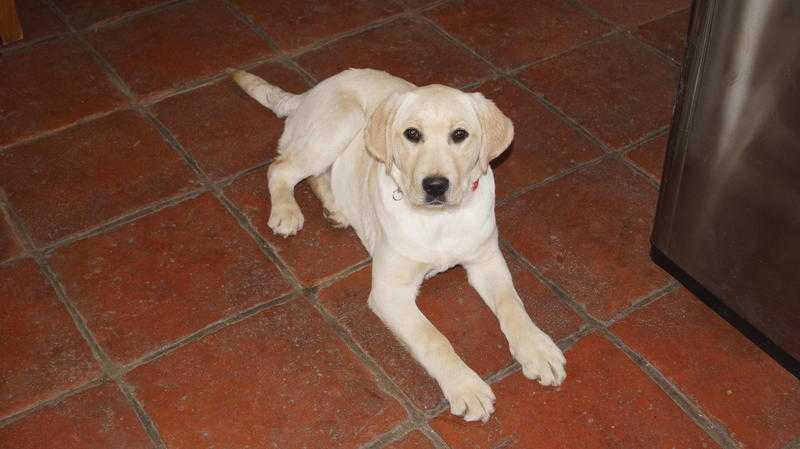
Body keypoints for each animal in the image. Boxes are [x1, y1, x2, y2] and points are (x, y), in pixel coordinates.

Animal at [234, 67, 564, 420]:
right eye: (412, 134)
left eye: (460, 134)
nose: (435, 186)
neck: (440, 220)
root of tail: (309, 94)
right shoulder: (390, 292)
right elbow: (433, 338)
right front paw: (466, 387)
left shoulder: (487, 262)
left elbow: (513, 304)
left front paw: (538, 349)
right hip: (340, 123)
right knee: (281, 169)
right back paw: (286, 211)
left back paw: (335, 208)